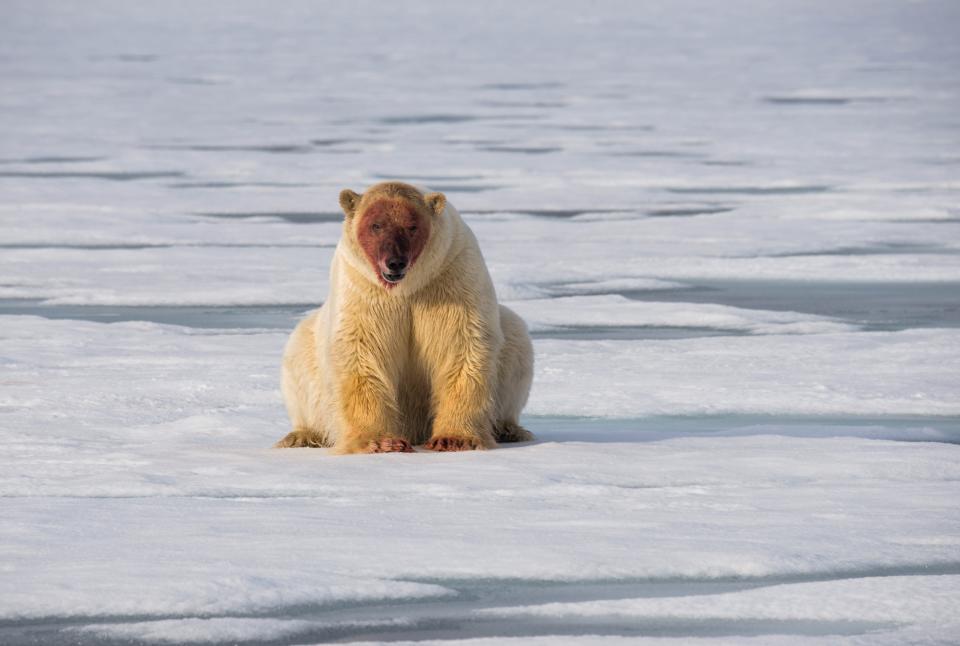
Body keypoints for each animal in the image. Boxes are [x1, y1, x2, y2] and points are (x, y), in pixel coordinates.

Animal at [276, 181, 532, 456]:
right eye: (376, 225)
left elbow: (461, 345)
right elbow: (362, 352)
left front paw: (454, 439)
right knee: (299, 358)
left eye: (412, 226)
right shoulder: (361, 289)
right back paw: (300, 435)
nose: (395, 262)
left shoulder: (451, 278)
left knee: (516, 339)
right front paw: (381, 442)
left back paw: (509, 429)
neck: (406, 288)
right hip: (307, 347)